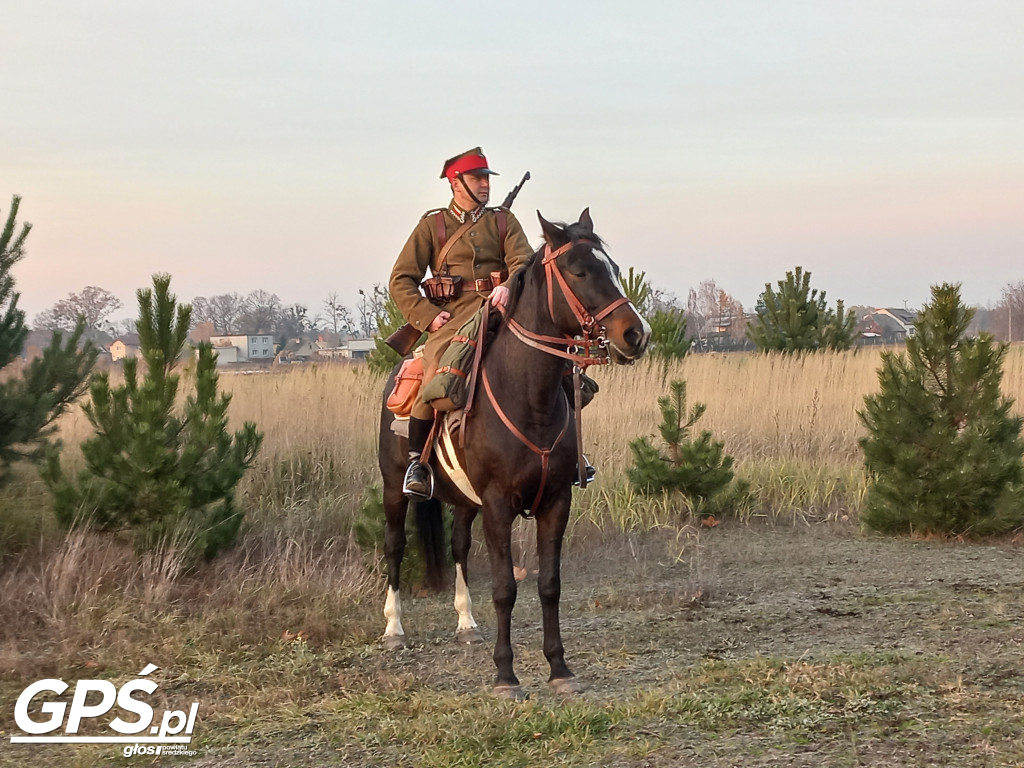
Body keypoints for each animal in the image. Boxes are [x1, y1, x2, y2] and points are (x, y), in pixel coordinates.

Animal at [376, 207, 647, 700]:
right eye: (580, 271)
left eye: (614, 268)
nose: (636, 333)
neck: (528, 396)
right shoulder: (499, 506)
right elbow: (505, 588)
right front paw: (506, 676)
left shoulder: (556, 501)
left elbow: (549, 584)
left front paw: (559, 668)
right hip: (392, 489)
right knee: (394, 545)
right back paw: (394, 630)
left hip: (466, 503)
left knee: (459, 547)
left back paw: (466, 622)